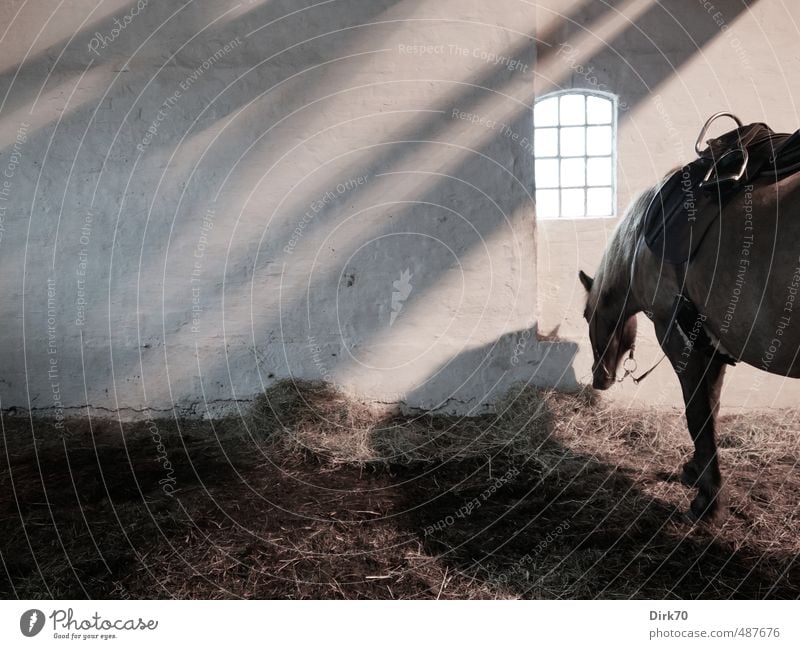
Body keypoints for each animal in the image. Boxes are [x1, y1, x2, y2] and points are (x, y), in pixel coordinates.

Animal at [580, 170, 800, 520]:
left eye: (588, 315)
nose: (599, 379)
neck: (639, 245)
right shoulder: (714, 347)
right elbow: (711, 408)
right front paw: (697, 470)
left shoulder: (679, 338)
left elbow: (697, 413)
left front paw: (707, 499)